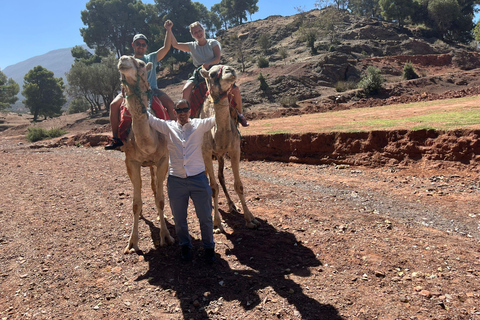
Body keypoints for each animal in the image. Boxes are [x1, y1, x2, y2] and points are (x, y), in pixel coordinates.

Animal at [116, 56, 174, 254]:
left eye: (141, 64)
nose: (123, 59)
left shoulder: (163, 159)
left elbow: (161, 200)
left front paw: (166, 236)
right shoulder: (131, 162)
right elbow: (135, 203)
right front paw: (132, 243)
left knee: (155, 188)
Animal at [198, 65, 260, 230]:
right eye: (213, 74)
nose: (230, 70)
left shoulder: (234, 150)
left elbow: (238, 185)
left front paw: (250, 218)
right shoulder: (206, 152)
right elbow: (213, 187)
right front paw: (216, 222)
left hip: (220, 156)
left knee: (221, 177)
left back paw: (232, 205)